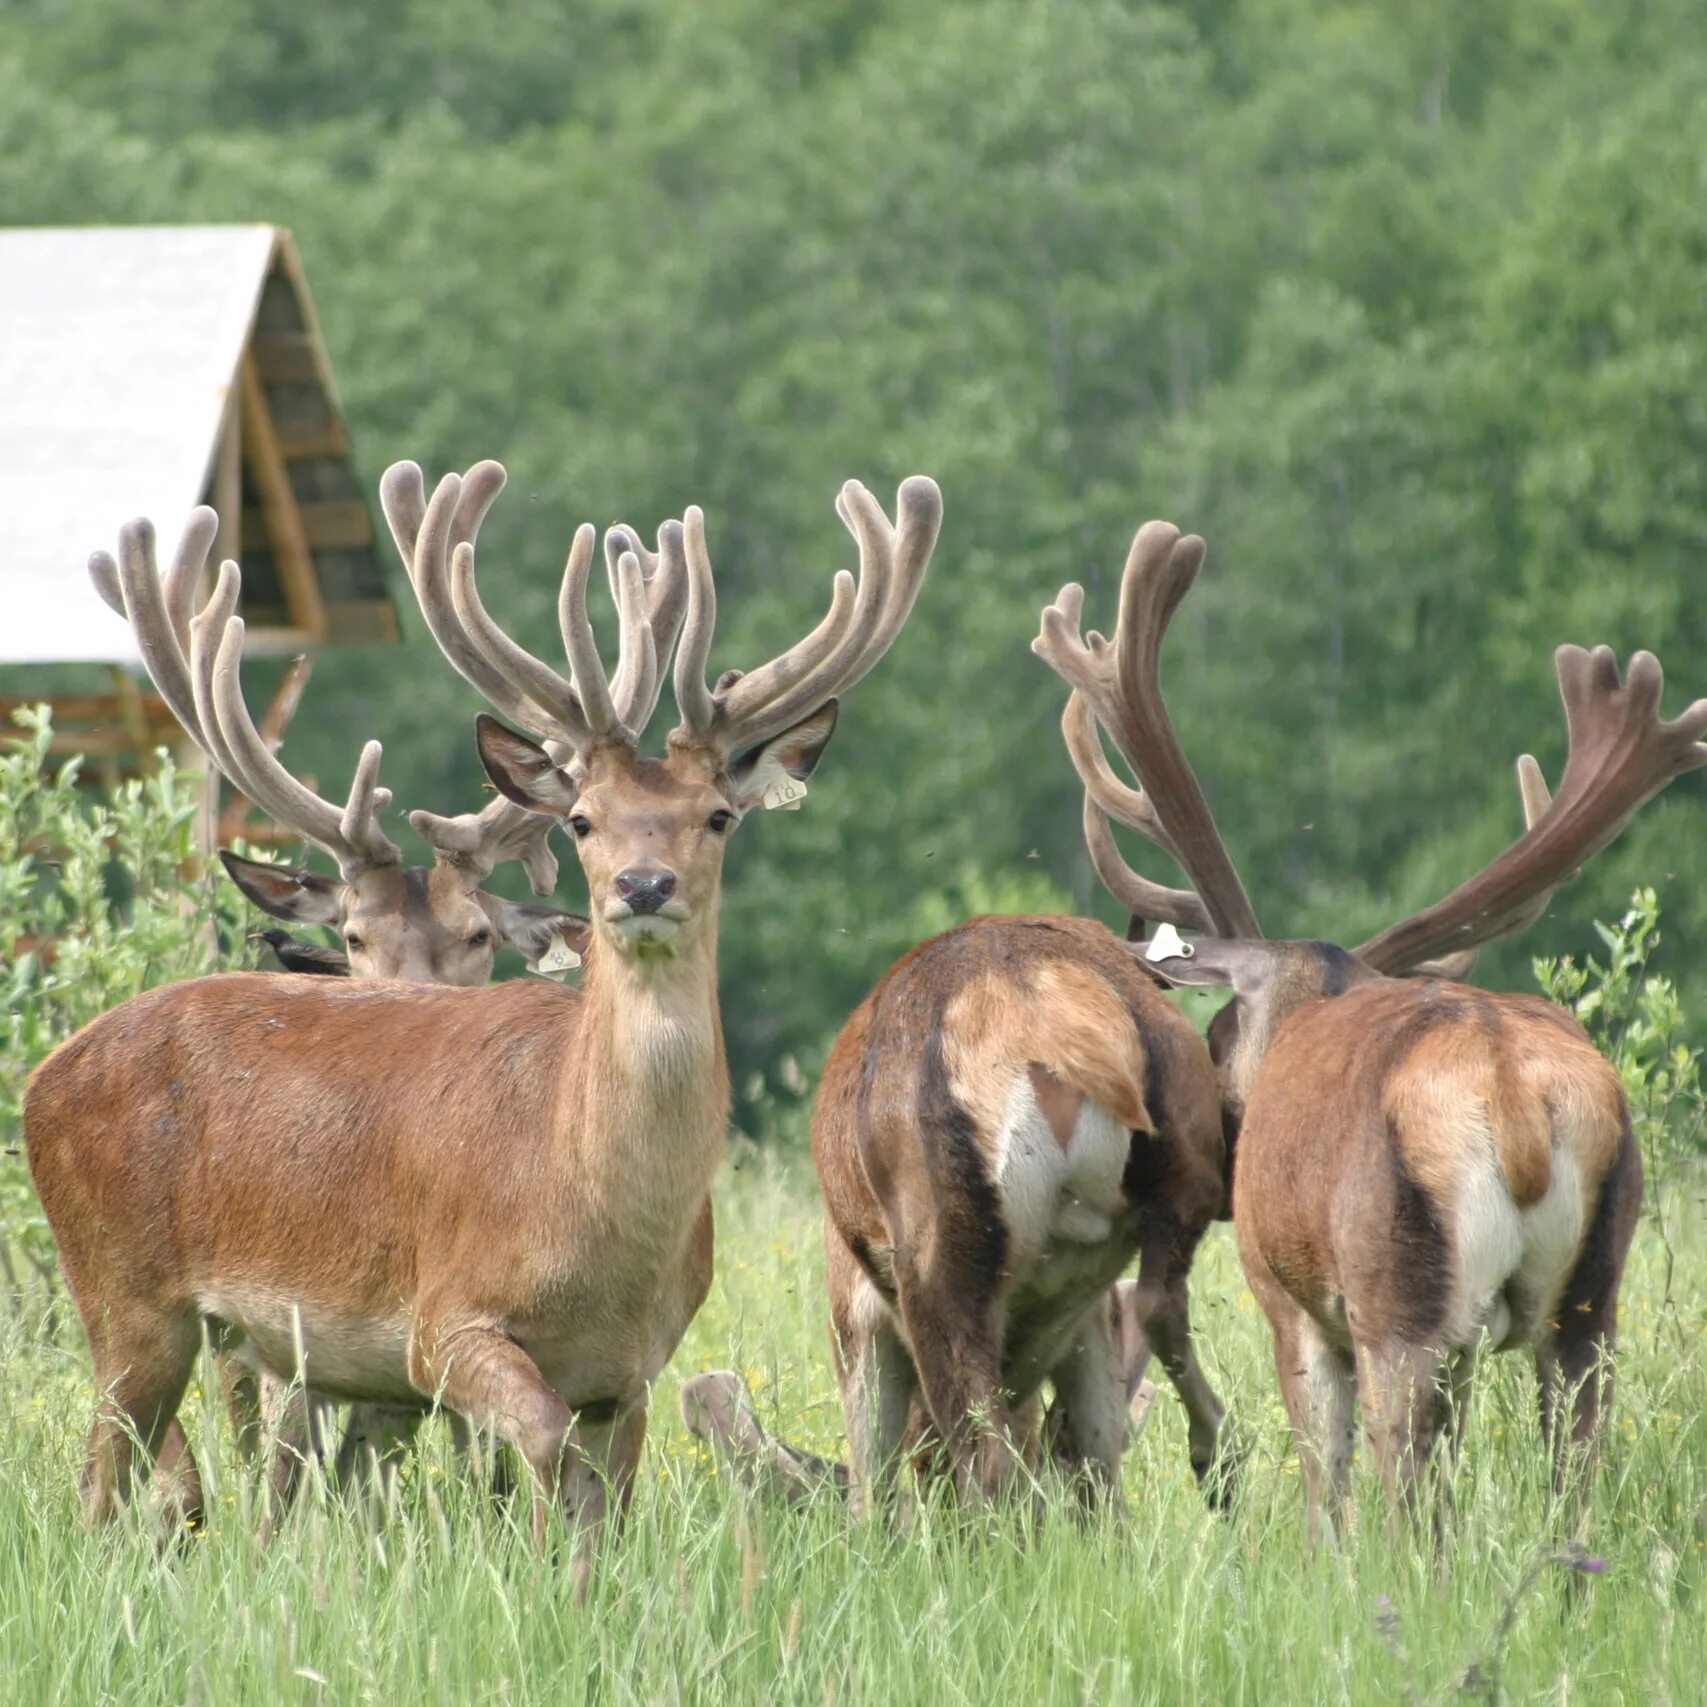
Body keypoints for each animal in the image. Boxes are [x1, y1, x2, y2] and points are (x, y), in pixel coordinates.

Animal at [23, 457, 935, 1584]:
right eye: (581, 818)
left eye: (717, 815)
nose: (642, 884)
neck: (587, 1218)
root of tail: (43, 1077)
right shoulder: (441, 1321)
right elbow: (535, 1452)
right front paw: (543, 1576)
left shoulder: (633, 1370)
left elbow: (602, 1498)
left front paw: (582, 1586)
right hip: (124, 1291)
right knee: (104, 1478)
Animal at [1031, 515, 1700, 1536]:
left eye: (1217, 1035)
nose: (1220, 1158)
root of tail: (1514, 1096)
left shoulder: (1288, 1297)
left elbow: (1324, 1486)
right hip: (1590, 1299)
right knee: (1571, 1486)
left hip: (1397, 1293)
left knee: (1403, 1501)